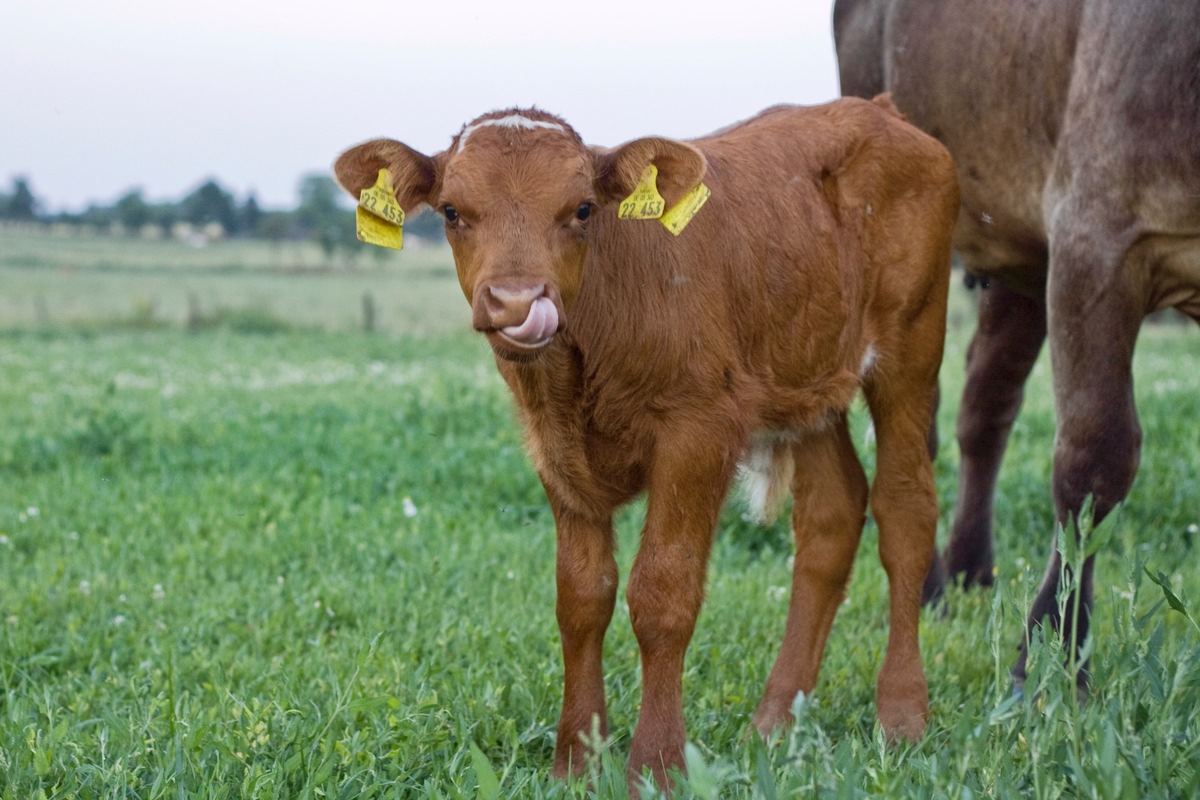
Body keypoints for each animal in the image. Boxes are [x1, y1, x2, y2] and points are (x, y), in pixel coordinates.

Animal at [336, 98, 955, 786]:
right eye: (450, 211)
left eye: (583, 209)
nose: (517, 300)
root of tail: (874, 110)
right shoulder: (554, 448)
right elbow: (581, 596)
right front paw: (577, 760)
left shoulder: (698, 432)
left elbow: (663, 594)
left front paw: (656, 766)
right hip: (810, 383)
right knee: (831, 517)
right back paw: (774, 723)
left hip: (911, 348)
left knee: (906, 508)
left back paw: (901, 714)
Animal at [835, 0, 1200, 690]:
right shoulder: (1097, 235)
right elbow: (1096, 457)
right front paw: (1053, 655)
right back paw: (928, 589)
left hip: (1020, 254)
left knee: (986, 403)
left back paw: (972, 569)